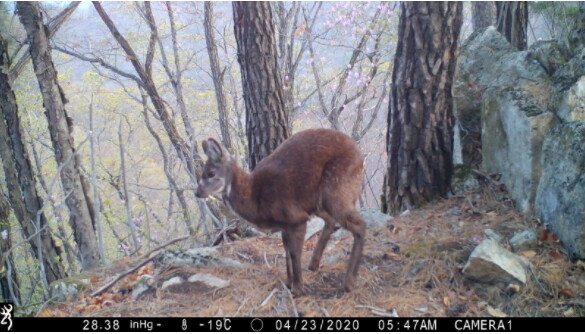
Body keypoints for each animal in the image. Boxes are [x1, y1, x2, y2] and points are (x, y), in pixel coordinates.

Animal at [196, 128, 364, 294]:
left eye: (211, 173)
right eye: (202, 173)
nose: (197, 193)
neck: (256, 199)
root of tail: (359, 154)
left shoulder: (296, 218)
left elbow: (295, 253)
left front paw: (298, 289)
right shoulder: (285, 224)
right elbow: (286, 250)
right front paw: (289, 282)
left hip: (336, 188)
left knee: (360, 225)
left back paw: (349, 282)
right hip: (318, 202)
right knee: (332, 221)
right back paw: (313, 264)